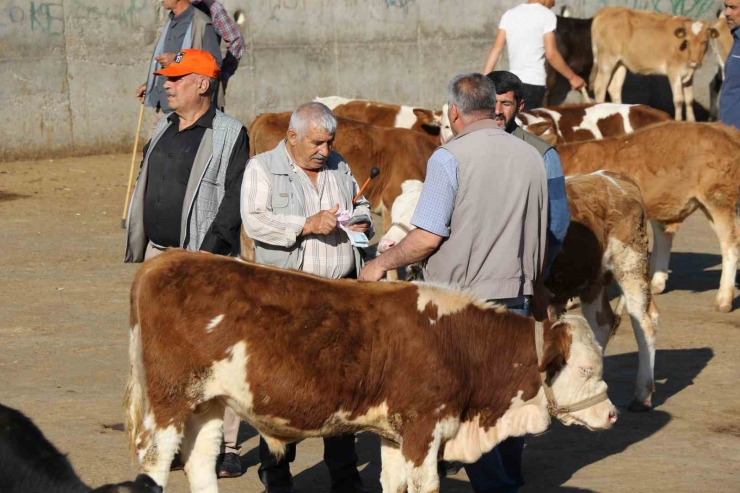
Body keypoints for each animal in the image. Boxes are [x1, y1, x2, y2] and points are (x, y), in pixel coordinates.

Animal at [124, 252, 616, 490]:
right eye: (586, 369)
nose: (611, 414)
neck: (455, 343)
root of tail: (164, 261)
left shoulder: (393, 434)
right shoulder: (422, 430)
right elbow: (424, 486)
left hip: (206, 404)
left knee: (201, 464)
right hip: (170, 402)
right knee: (154, 464)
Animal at [382, 171, 660, 410]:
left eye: (419, 218)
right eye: (396, 210)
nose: (385, 245)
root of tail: (611, 177)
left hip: (631, 264)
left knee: (644, 321)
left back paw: (642, 393)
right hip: (592, 278)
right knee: (602, 323)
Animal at [588, 6, 716, 121]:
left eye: (705, 42)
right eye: (687, 41)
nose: (694, 62)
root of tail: (607, 10)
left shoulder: (689, 74)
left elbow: (689, 100)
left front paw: (691, 121)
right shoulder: (674, 71)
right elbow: (679, 100)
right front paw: (679, 121)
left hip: (620, 64)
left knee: (614, 88)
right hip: (607, 61)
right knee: (600, 87)